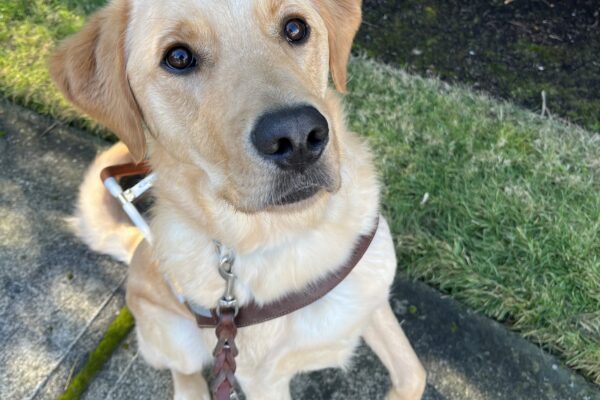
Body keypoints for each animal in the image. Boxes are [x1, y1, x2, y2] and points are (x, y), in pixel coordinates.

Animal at [51, 0, 426, 398]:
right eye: (178, 57)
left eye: (295, 28)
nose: (297, 137)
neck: (294, 236)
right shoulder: (262, 380)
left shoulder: (373, 303)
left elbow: (414, 374)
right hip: (173, 336)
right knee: (183, 370)